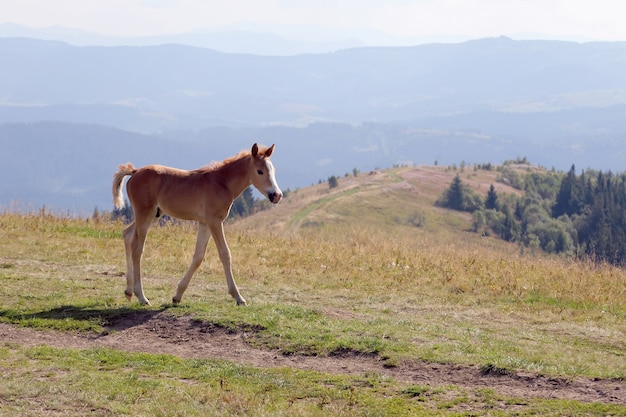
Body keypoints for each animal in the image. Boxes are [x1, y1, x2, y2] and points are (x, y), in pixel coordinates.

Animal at [111, 144, 282, 306]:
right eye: (260, 171)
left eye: (273, 170)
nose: (277, 195)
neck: (222, 183)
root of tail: (135, 172)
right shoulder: (215, 221)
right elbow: (225, 254)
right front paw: (238, 297)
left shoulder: (204, 223)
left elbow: (198, 256)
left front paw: (177, 296)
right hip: (145, 213)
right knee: (137, 248)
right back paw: (141, 296)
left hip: (154, 215)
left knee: (127, 234)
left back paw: (128, 291)